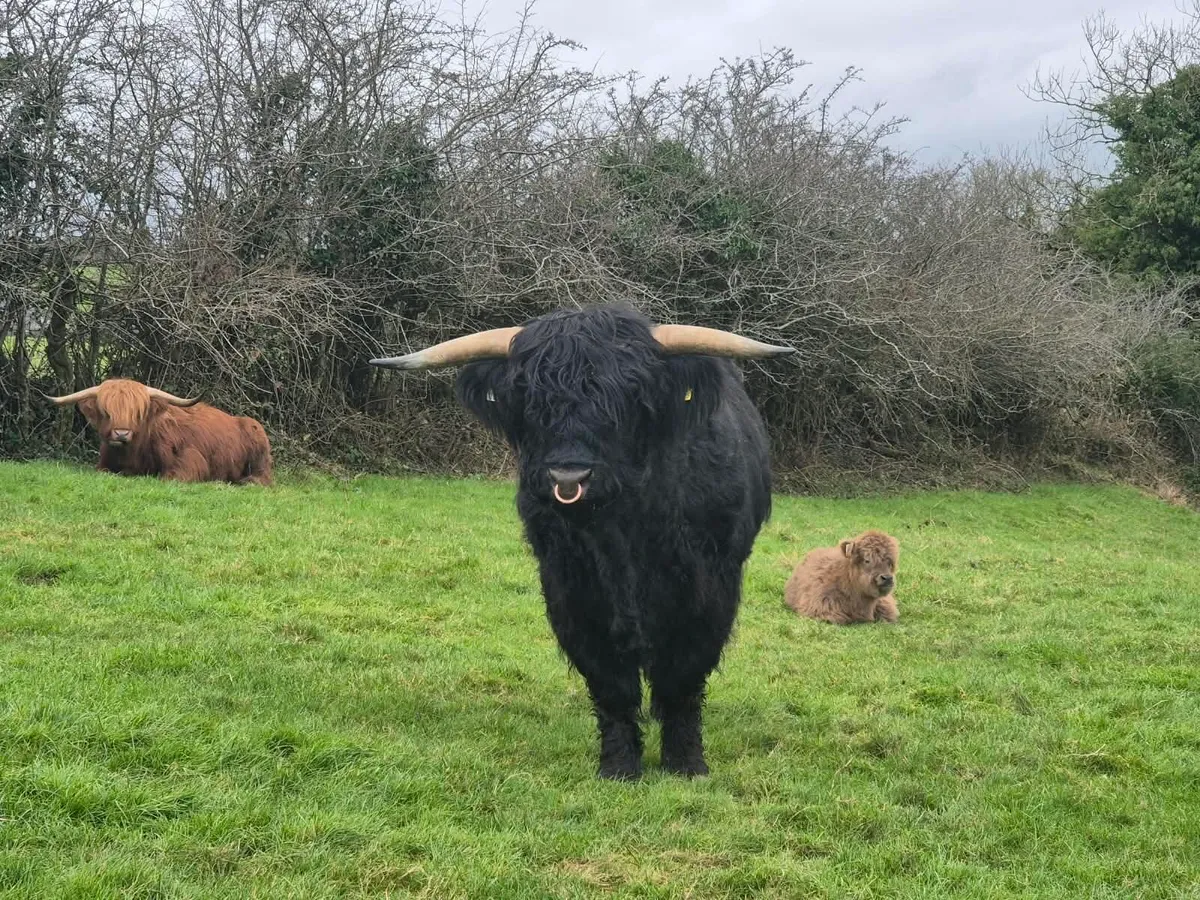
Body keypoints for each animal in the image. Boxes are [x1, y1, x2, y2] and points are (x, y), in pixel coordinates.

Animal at [49, 378, 274, 486]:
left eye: (137, 412)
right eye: (107, 411)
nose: (121, 434)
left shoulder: (190, 459)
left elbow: (170, 476)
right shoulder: (103, 464)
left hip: (257, 438)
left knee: (264, 477)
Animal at [370, 304, 793, 779]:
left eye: (630, 394)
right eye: (529, 398)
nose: (568, 476)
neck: (624, 532)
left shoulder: (709, 588)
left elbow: (683, 676)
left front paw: (685, 762)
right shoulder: (570, 588)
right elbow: (610, 682)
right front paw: (619, 765)